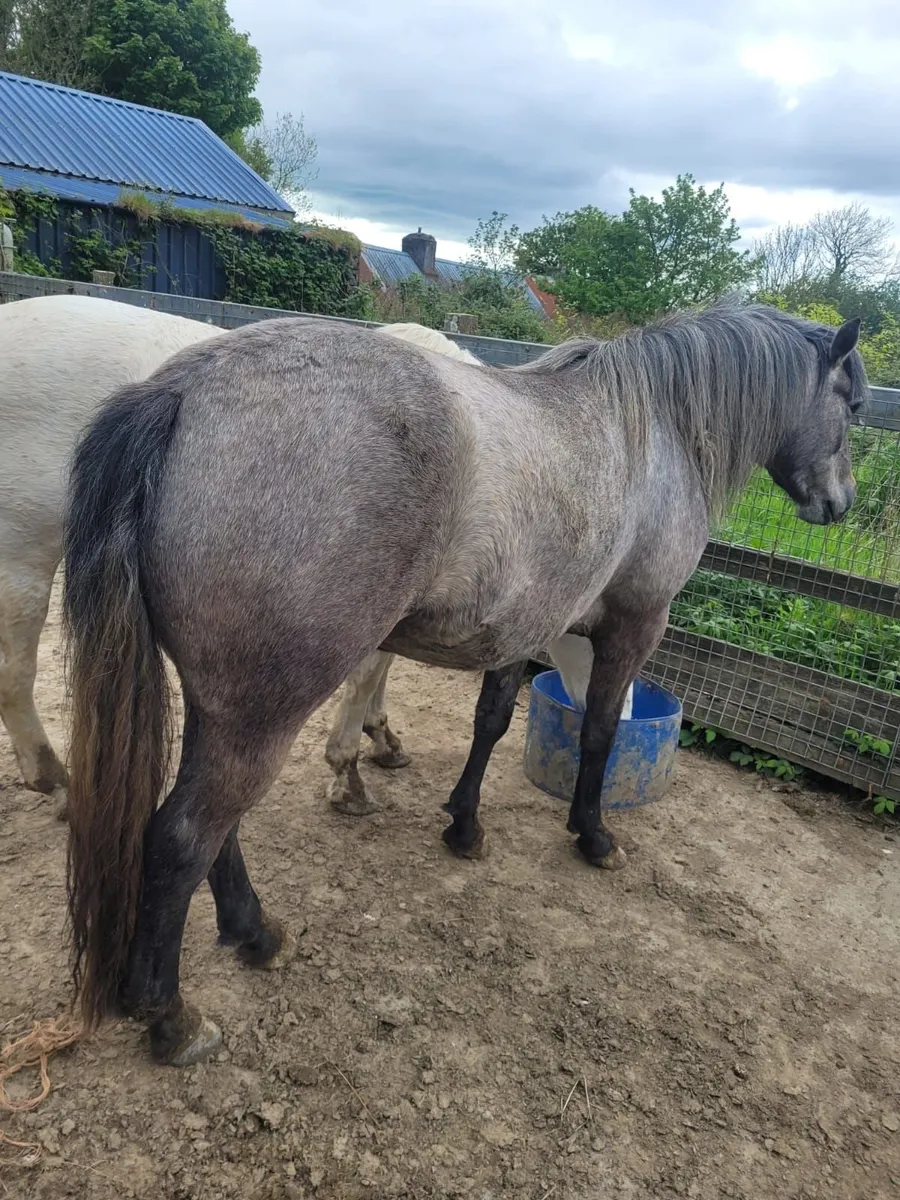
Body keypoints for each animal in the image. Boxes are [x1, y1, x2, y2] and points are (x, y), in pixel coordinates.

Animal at [0, 293, 480, 811]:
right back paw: (51, 775)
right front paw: (348, 774)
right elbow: (367, 676)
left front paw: (382, 738)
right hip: (23, 561)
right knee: (14, 673)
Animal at [61, 299, 865, 1066]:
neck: (653, 431)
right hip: (262, 710)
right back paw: (172, 1017)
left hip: (227, 704)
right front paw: (593, 835)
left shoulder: (526, 625)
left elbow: (493, 721)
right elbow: (599, 732)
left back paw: (256, 934)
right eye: (854, 404)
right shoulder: (636, 626)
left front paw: (464, 823)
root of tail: (184, 391)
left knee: (216, 829)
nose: (840, 503)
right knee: (183, 836)